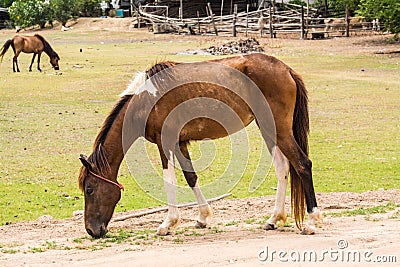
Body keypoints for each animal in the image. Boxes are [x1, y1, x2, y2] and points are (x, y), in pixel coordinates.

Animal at [77, 52, 322, 239]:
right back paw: (274, 219)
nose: (91, 230)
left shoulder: (165, 143)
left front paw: (168, 224)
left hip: (279, 130)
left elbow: (170, 180)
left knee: (302, 164)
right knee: (283, 167)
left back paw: (311, 222)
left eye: (90, 189)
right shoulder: (179, 143)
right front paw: (203, 217)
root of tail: (286, 69)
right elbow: (190, 177)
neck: (145, 100)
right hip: (269, 130)